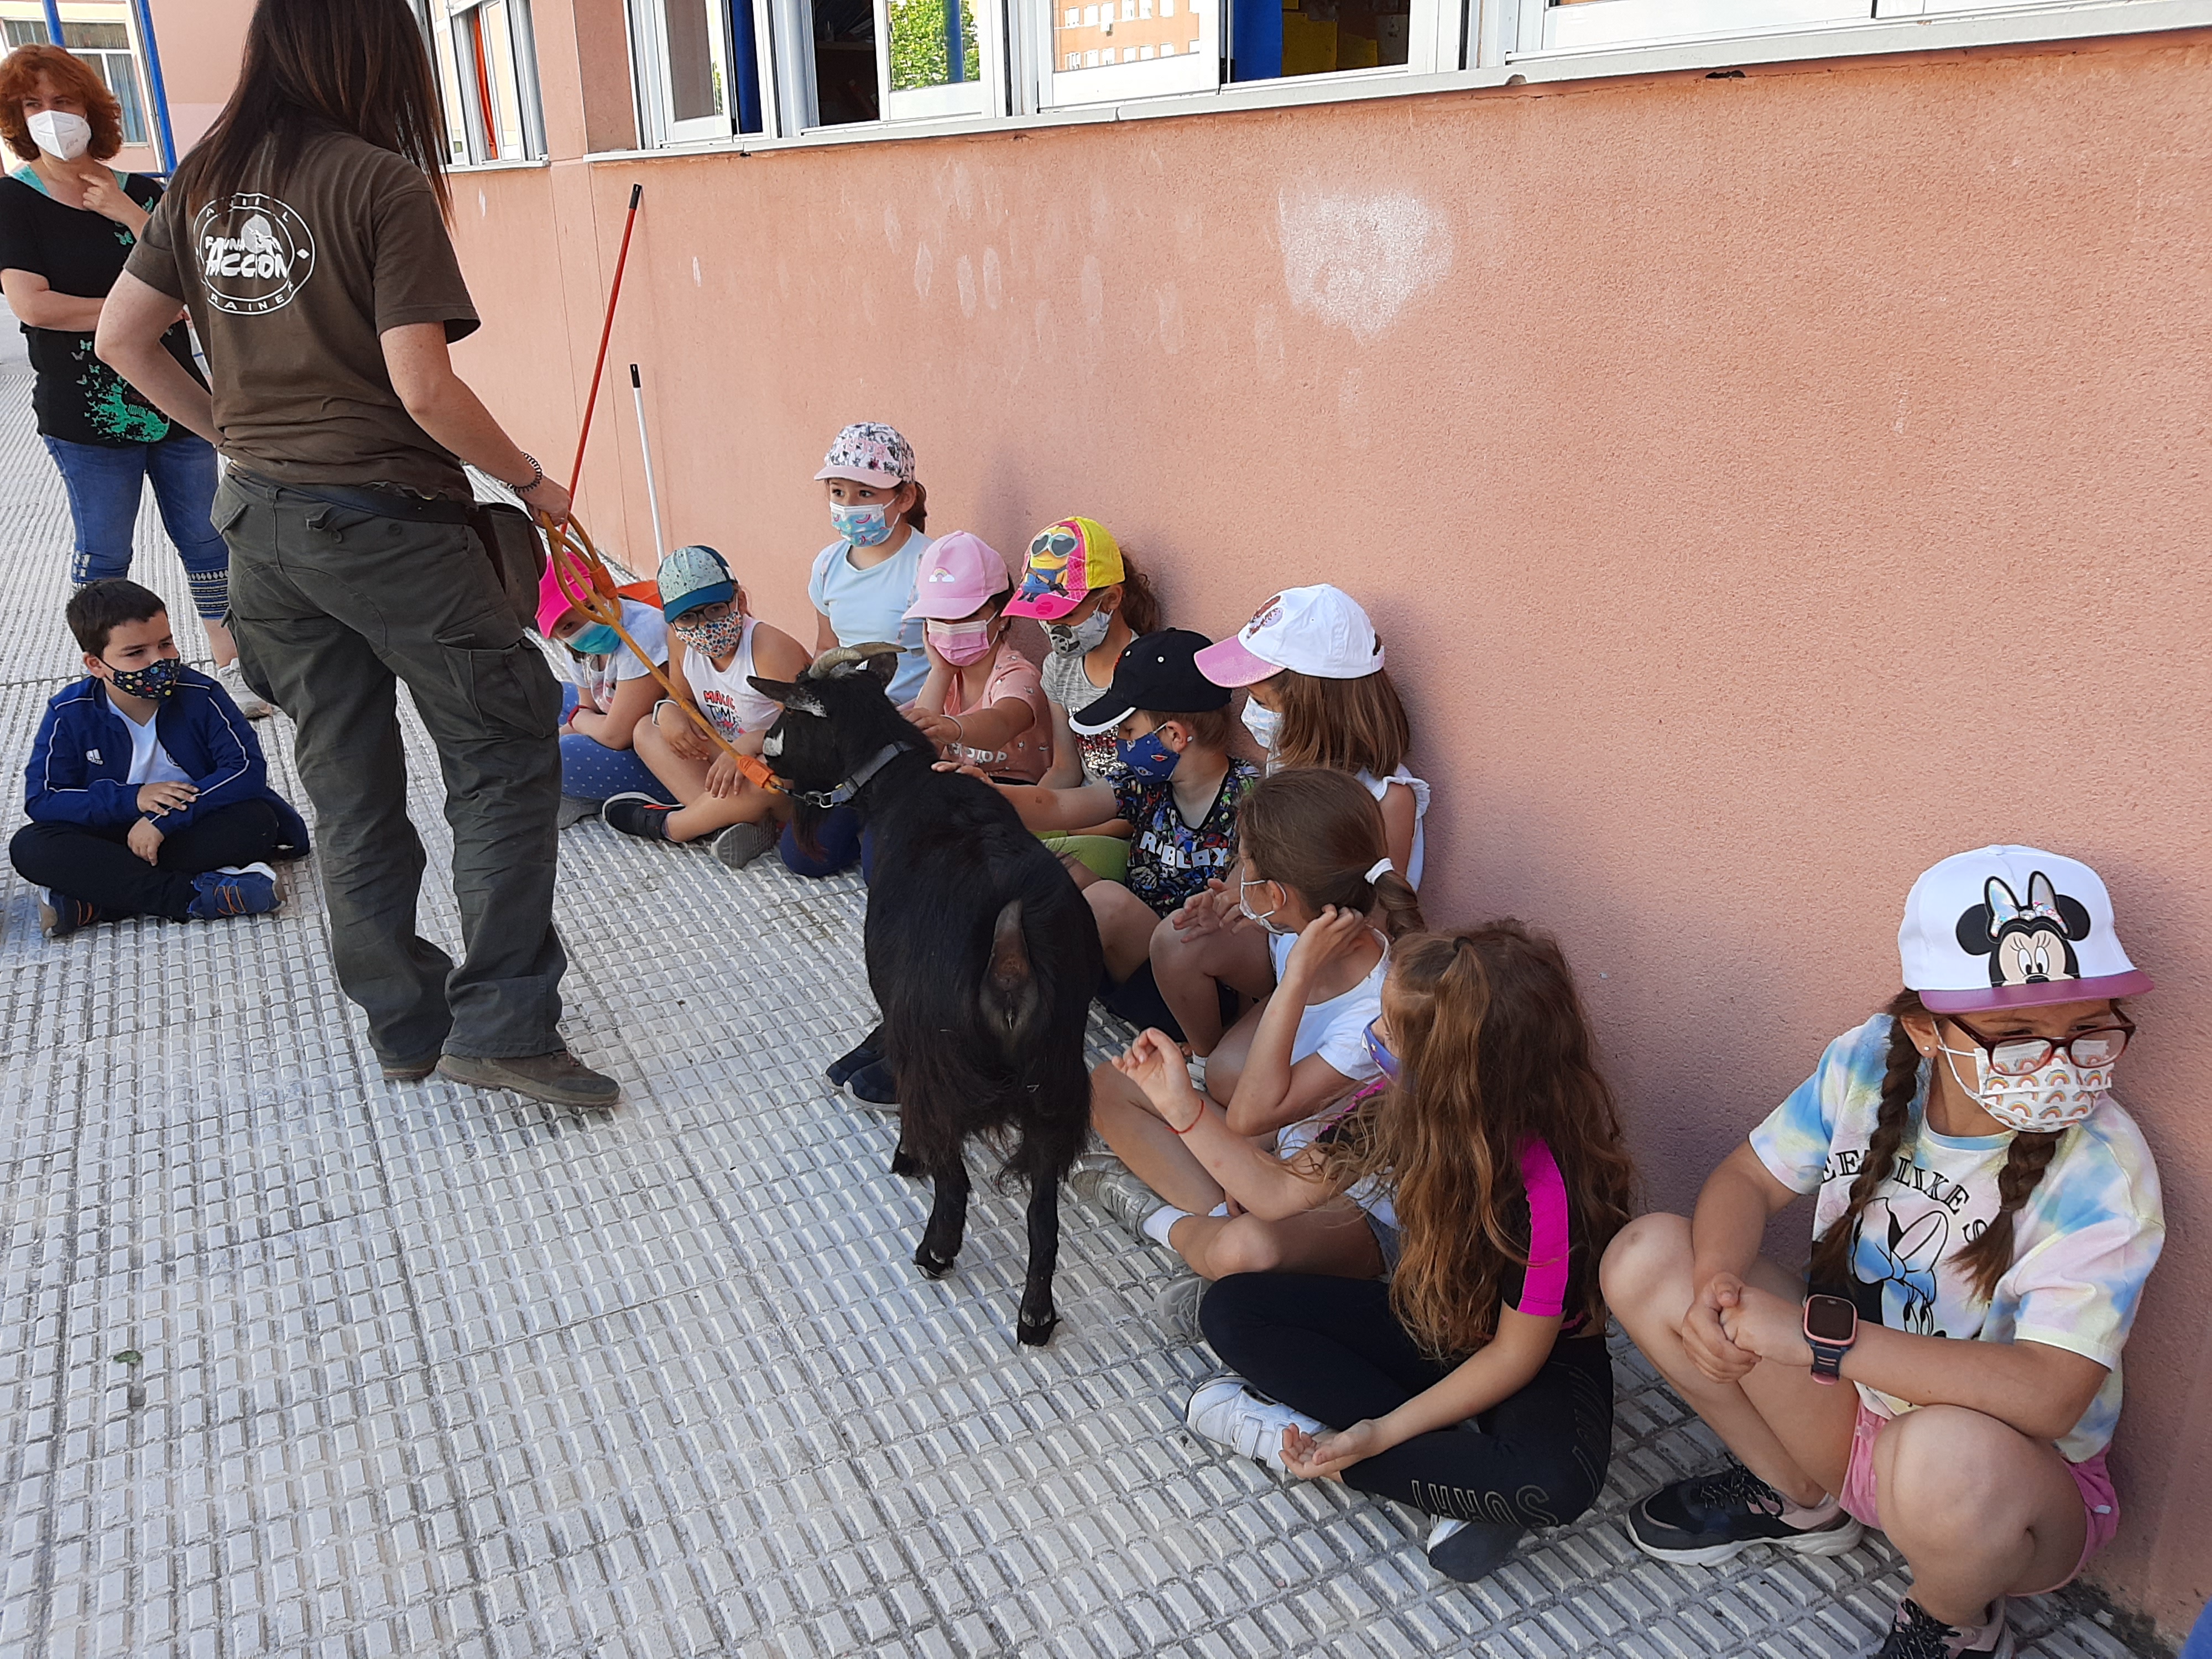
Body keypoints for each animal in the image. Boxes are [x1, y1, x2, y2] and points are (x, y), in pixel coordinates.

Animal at [749, 645, 1105, 1345]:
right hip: (1055, 1077)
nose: (762, 752)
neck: (904, 785)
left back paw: (934, 1246)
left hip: (940, 1063)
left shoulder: (896, 998)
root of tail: (1010, 949)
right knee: (1042, 1212)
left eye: (791, 714)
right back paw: (1035, 1315)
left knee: (953, 1174)